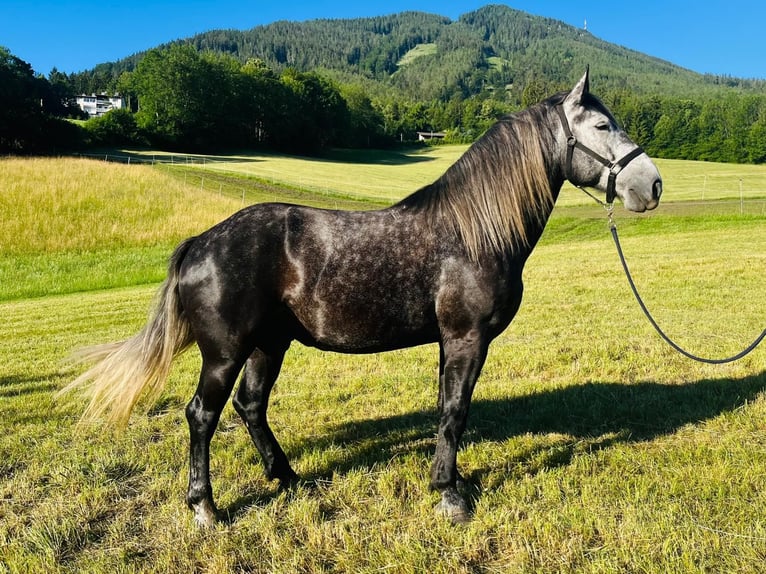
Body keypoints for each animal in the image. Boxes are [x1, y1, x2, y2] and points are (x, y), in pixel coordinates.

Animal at [62, 69, 662, 526]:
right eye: (602, 125)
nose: (652, 185)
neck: (470, 232)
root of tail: (200, 243)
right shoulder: (466, 339)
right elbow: (455, 412)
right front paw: (450, 495)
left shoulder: (450, 343)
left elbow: (446, 410)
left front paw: (446, 483)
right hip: (225, 354)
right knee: (202, 416)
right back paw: (205, 508)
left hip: (268, 345)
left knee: (250, 407)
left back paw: (288, 479)